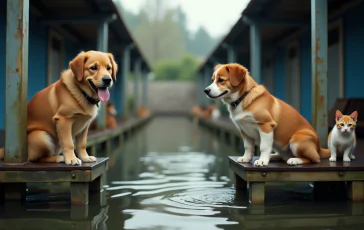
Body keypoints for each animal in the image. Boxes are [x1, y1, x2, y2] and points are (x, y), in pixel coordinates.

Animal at [203, 63, 332, 166]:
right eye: (212, 79)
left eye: (221, 80)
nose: (206, 90)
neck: (243, 97)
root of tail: (319, 147)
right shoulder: (244, 130)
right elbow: (248, 147)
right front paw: (246, 158)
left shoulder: (266, 126)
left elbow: (263, 147)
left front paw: (262, 161)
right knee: (284, 156)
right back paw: (274, 156)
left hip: (297, 139)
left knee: (314, 159)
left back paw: (295, 160)